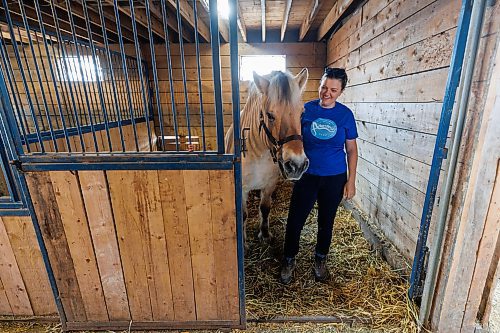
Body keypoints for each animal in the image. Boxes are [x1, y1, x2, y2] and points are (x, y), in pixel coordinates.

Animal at [226, 68, 308, 246]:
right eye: (270, 115)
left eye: (301, 114)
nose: (297, 165)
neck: (259, 154)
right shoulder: (242, 189)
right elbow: (243, 215)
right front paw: (244, 242)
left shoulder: (270, 184)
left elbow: (265, 208)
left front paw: (264, 234)